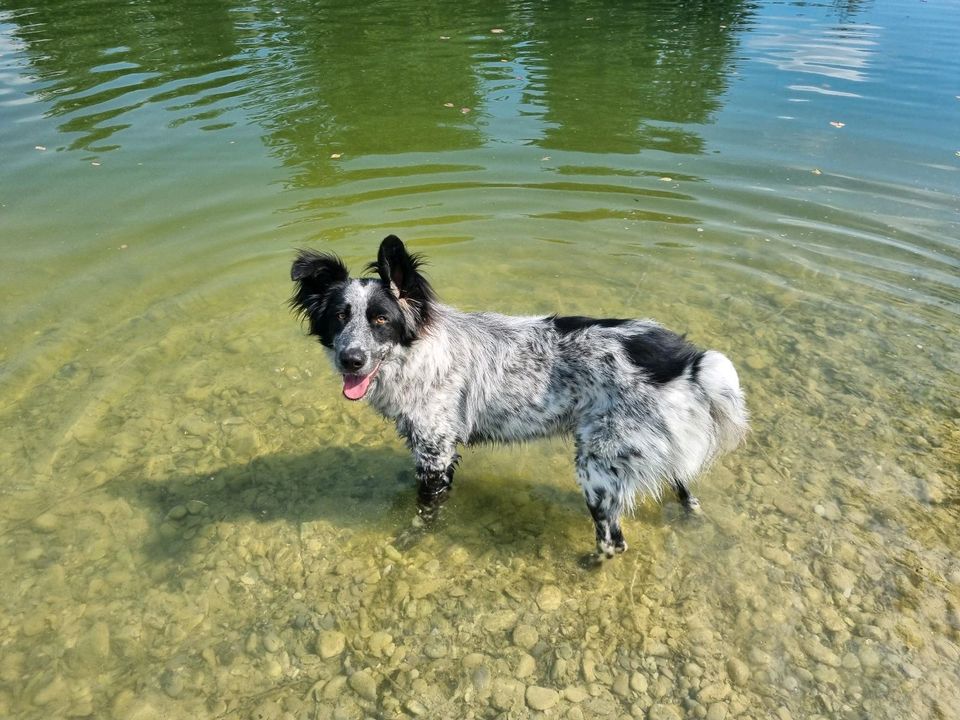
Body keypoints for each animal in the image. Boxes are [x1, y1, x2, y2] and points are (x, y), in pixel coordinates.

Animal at [288, 235, 748, 556]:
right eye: (339, 317)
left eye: (381, 319)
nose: (351, 359)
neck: (418, 354)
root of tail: (688, 361)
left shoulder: (436, 453)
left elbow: (425, 513)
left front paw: (411, 538)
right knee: (685, 490)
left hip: (597, 470)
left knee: (613, 542)